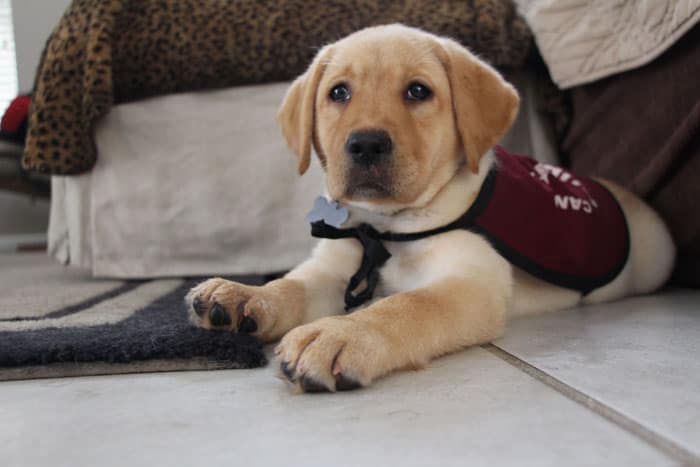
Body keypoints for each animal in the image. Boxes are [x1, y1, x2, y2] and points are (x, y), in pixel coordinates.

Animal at [186, 23, 672, 394]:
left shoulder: (472, 280)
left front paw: (341, 333)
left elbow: (406, 304)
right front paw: (245, 295)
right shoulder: (335, 264)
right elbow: (294, 285)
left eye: (418, 91)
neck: (384, 226)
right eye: (338, 93)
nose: (365, 144)